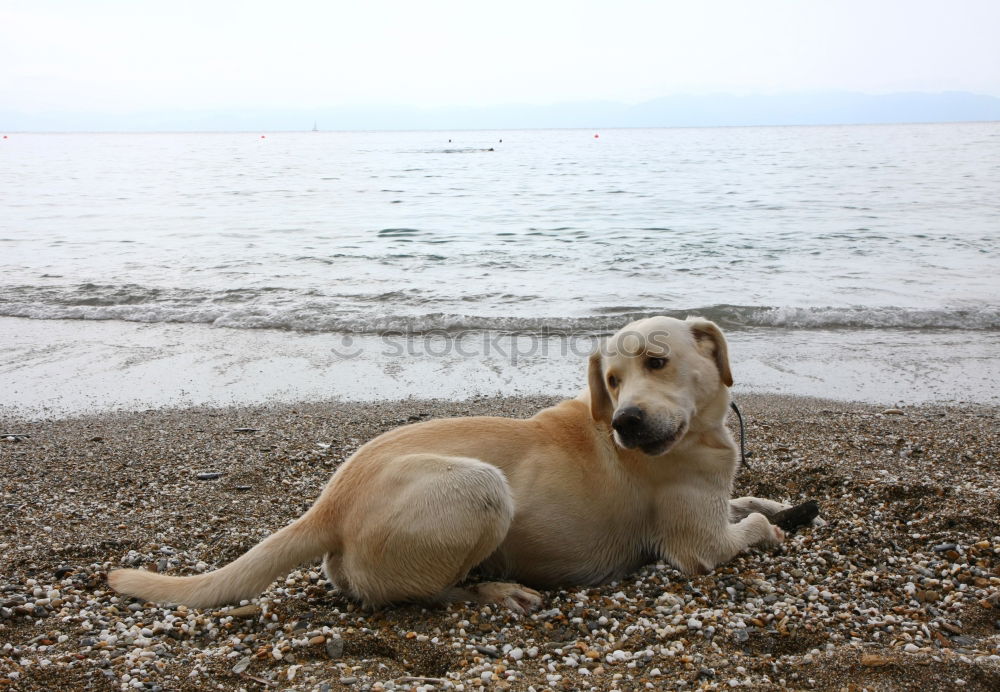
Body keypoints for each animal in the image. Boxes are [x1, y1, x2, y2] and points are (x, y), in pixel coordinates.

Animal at [109, 316, 808, 612]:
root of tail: (329, 504)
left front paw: (779, 504)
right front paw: (777, 526)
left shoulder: (717, 499)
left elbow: (749, 500)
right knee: (427, 593)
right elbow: (746, 528)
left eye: (657, 363)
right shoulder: (702, 545)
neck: (701, 433)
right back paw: (495, 589)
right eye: (611, 381)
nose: (624, 422)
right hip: (481, 487)